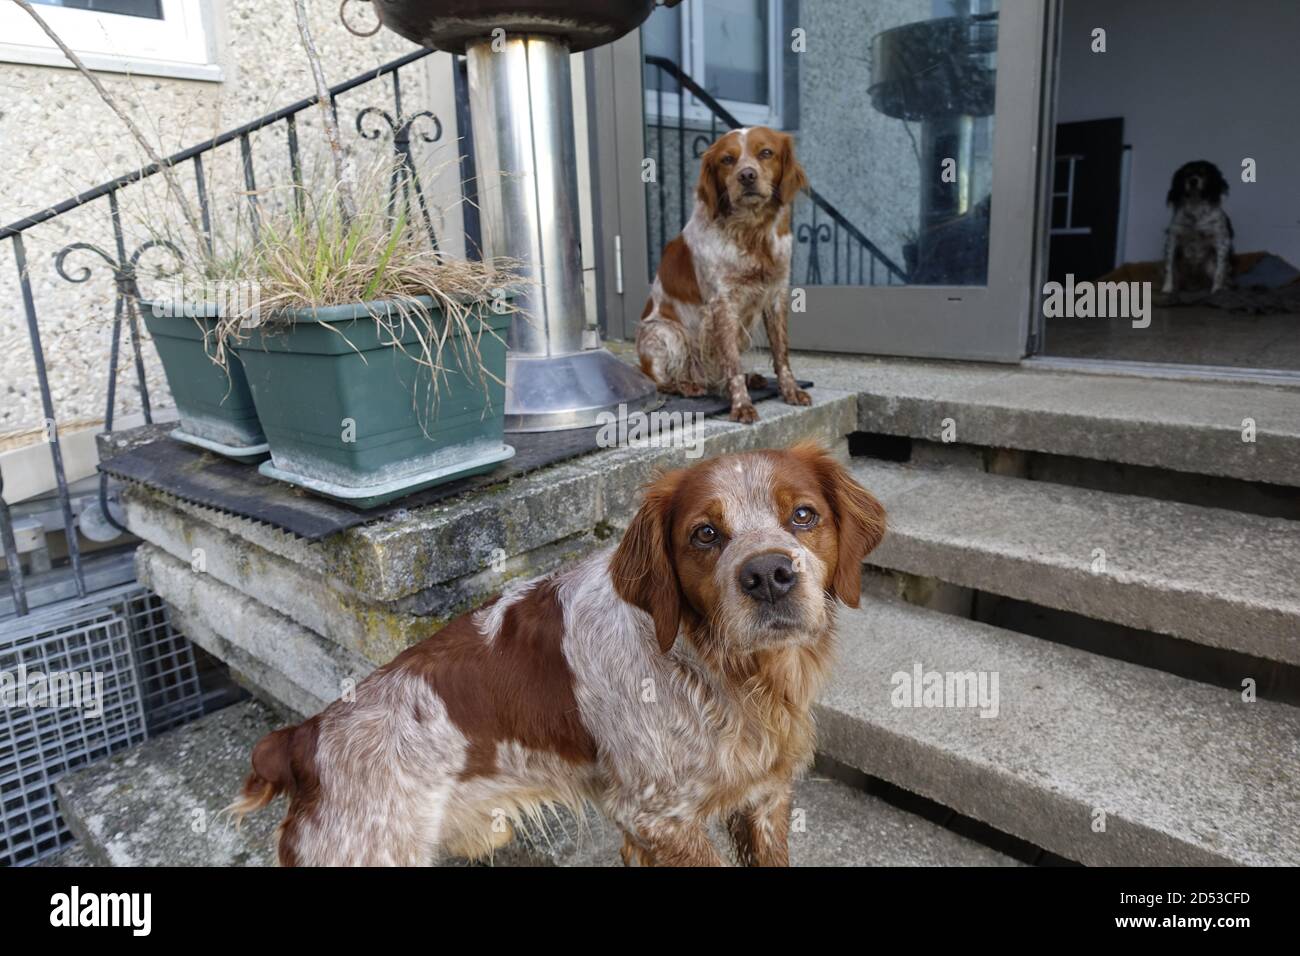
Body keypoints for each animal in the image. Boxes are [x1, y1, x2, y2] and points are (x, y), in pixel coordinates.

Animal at [233, 442, 883, 868]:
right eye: (705, 534)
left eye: (803, 515)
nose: (769, 575)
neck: (717, 669)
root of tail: (300, 738)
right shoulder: (659, 816)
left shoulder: (761, 800)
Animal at [634, 125, 806, 424]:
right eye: (727, 159)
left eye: (766, 153)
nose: (746, 175)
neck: (751, 233)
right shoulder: (722, 304)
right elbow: (732, 363)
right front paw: (741, 405)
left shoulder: (776, 293)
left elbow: (781, 352)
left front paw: (790, 390)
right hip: (665, 334)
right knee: (658, 381)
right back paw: (688, 385)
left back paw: (750, 378)